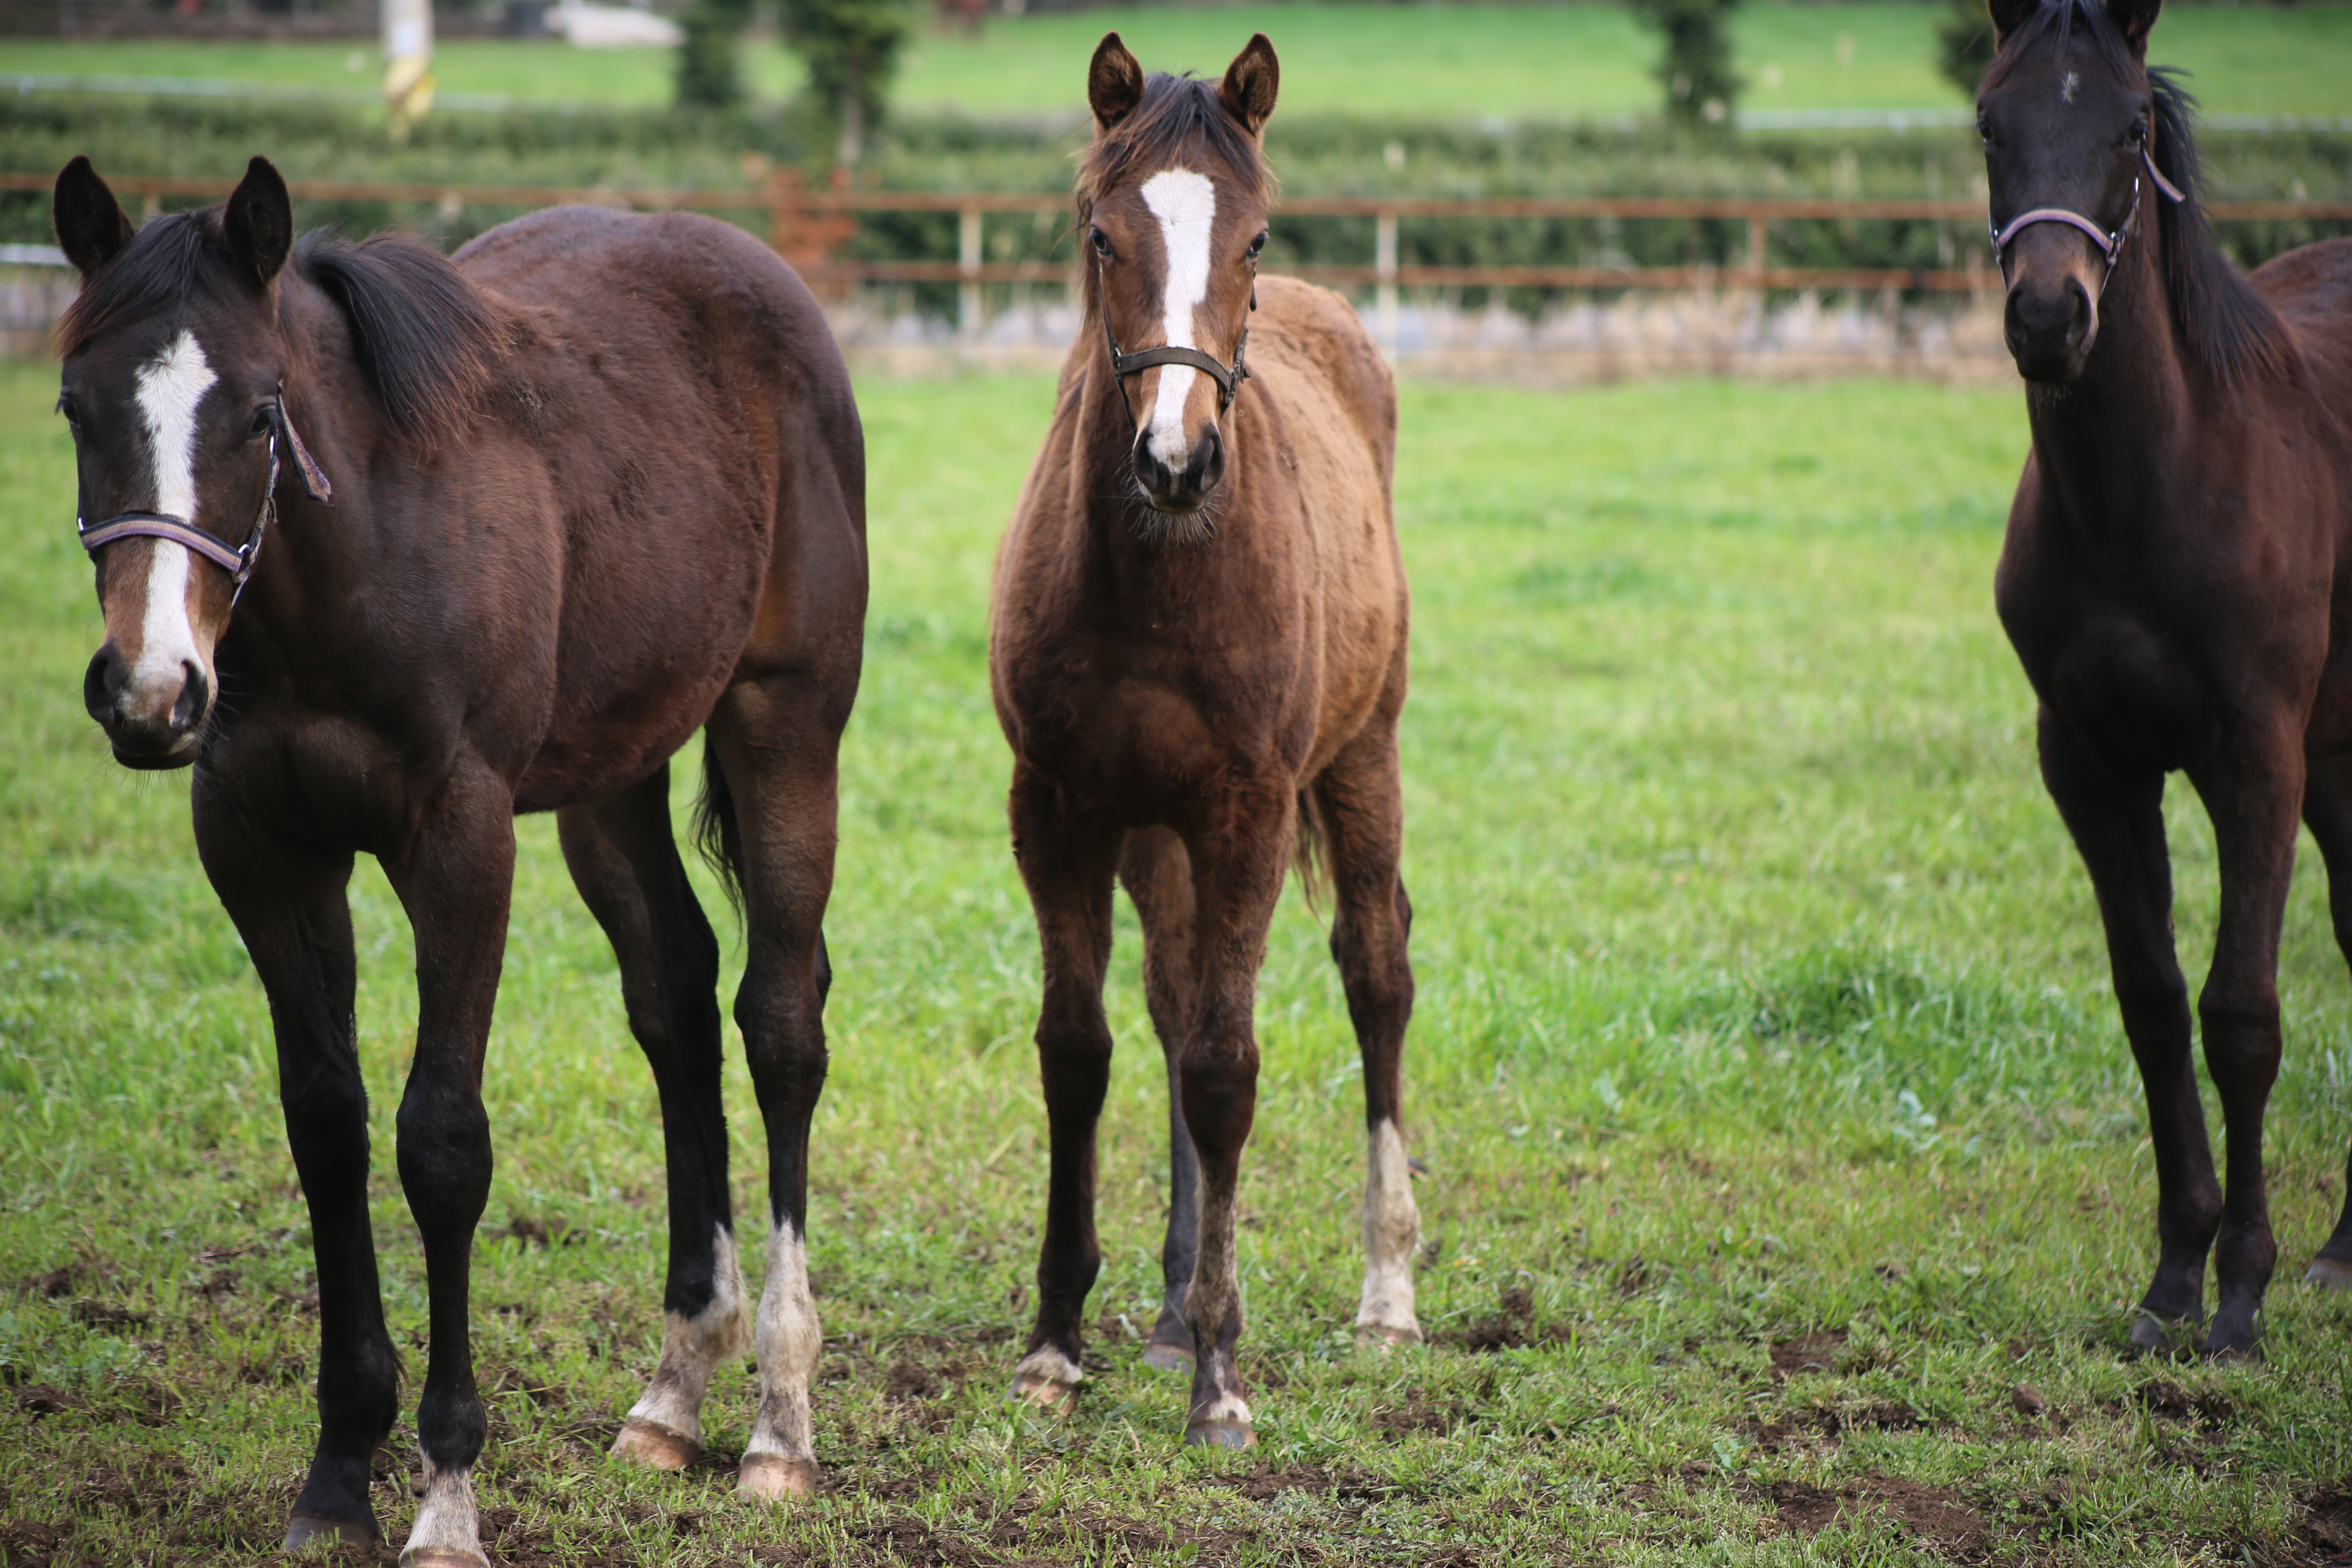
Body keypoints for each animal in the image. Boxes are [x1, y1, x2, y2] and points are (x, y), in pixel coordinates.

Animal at [53, 153, 865, 1561]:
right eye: (72, 406)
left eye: (261, 414)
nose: (152, 692)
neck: (350, 565)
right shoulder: (261, 845)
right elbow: (326, 1124)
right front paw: (337, 1472)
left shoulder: (460, 837)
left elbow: (441, 1144)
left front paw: (444, 1493)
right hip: (612, 776)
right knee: (674, 996)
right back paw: (674, 1388)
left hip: (785, 723)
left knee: (778, 1021)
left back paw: (778, 1417)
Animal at [988, 33, 1421, 1448]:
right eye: (1099, 232)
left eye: (1256, 234)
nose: (1176, 459)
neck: (1158, 581)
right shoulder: (1060, 807)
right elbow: (1083, 1051)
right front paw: (1057, 1341)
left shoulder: (1247, 809)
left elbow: (1230, 1069)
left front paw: (1223, 1380)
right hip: (1154, 830)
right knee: (1175, 1002)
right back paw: (1177, 1303)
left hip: (1363, 756)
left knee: (1376, 974)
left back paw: (1387, 1291)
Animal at [1985, 0, 2352, 1354]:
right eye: (1990, 122)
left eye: (2132, 127)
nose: (2050, 318)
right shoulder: (2090, 759)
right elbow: (2150, 1001)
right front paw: (2173, 1278)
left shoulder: (2257, 752)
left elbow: (2241, 1013)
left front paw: (2240, 1294)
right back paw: (2345, 1252)